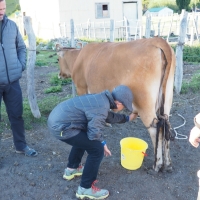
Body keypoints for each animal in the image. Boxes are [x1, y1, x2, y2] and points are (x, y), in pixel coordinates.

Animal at [55, 37, 175, 172]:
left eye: (57, 59)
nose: (59, 75)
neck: (78, 58)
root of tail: (157, 40)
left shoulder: (82, 88)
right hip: (167, 98)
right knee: (166, 125)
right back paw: (168, 164)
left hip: (145, 102)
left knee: (155, 129)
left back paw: (157, 164)